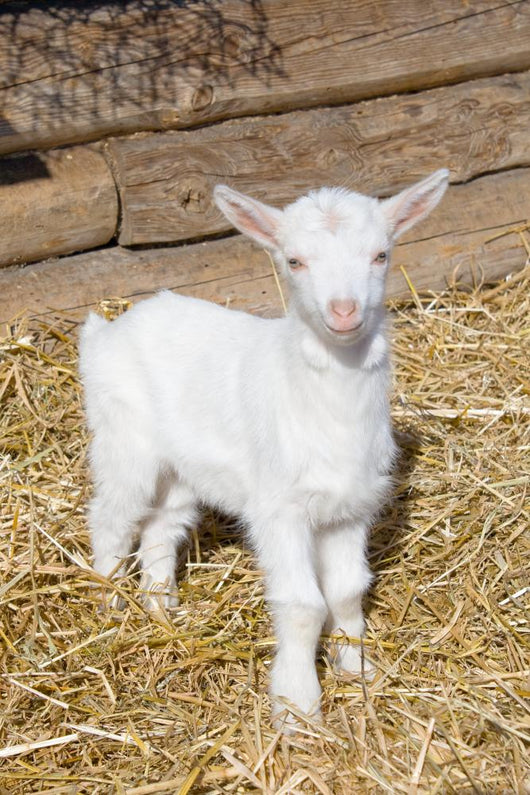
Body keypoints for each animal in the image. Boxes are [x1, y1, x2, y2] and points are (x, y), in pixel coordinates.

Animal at [79, 169, 448, 725]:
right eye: (294, 260)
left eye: (381, 255)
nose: (344, 312)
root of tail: (103, 332)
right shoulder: (279, 509)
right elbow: (302, 605)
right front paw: (298, 710)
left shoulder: (351, 507)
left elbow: (347, 591)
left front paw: (356, 668)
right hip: (124, 440)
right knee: (111, 520)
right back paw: (109, 608)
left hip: (182, 469)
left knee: (161, 528)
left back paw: (162, 608)